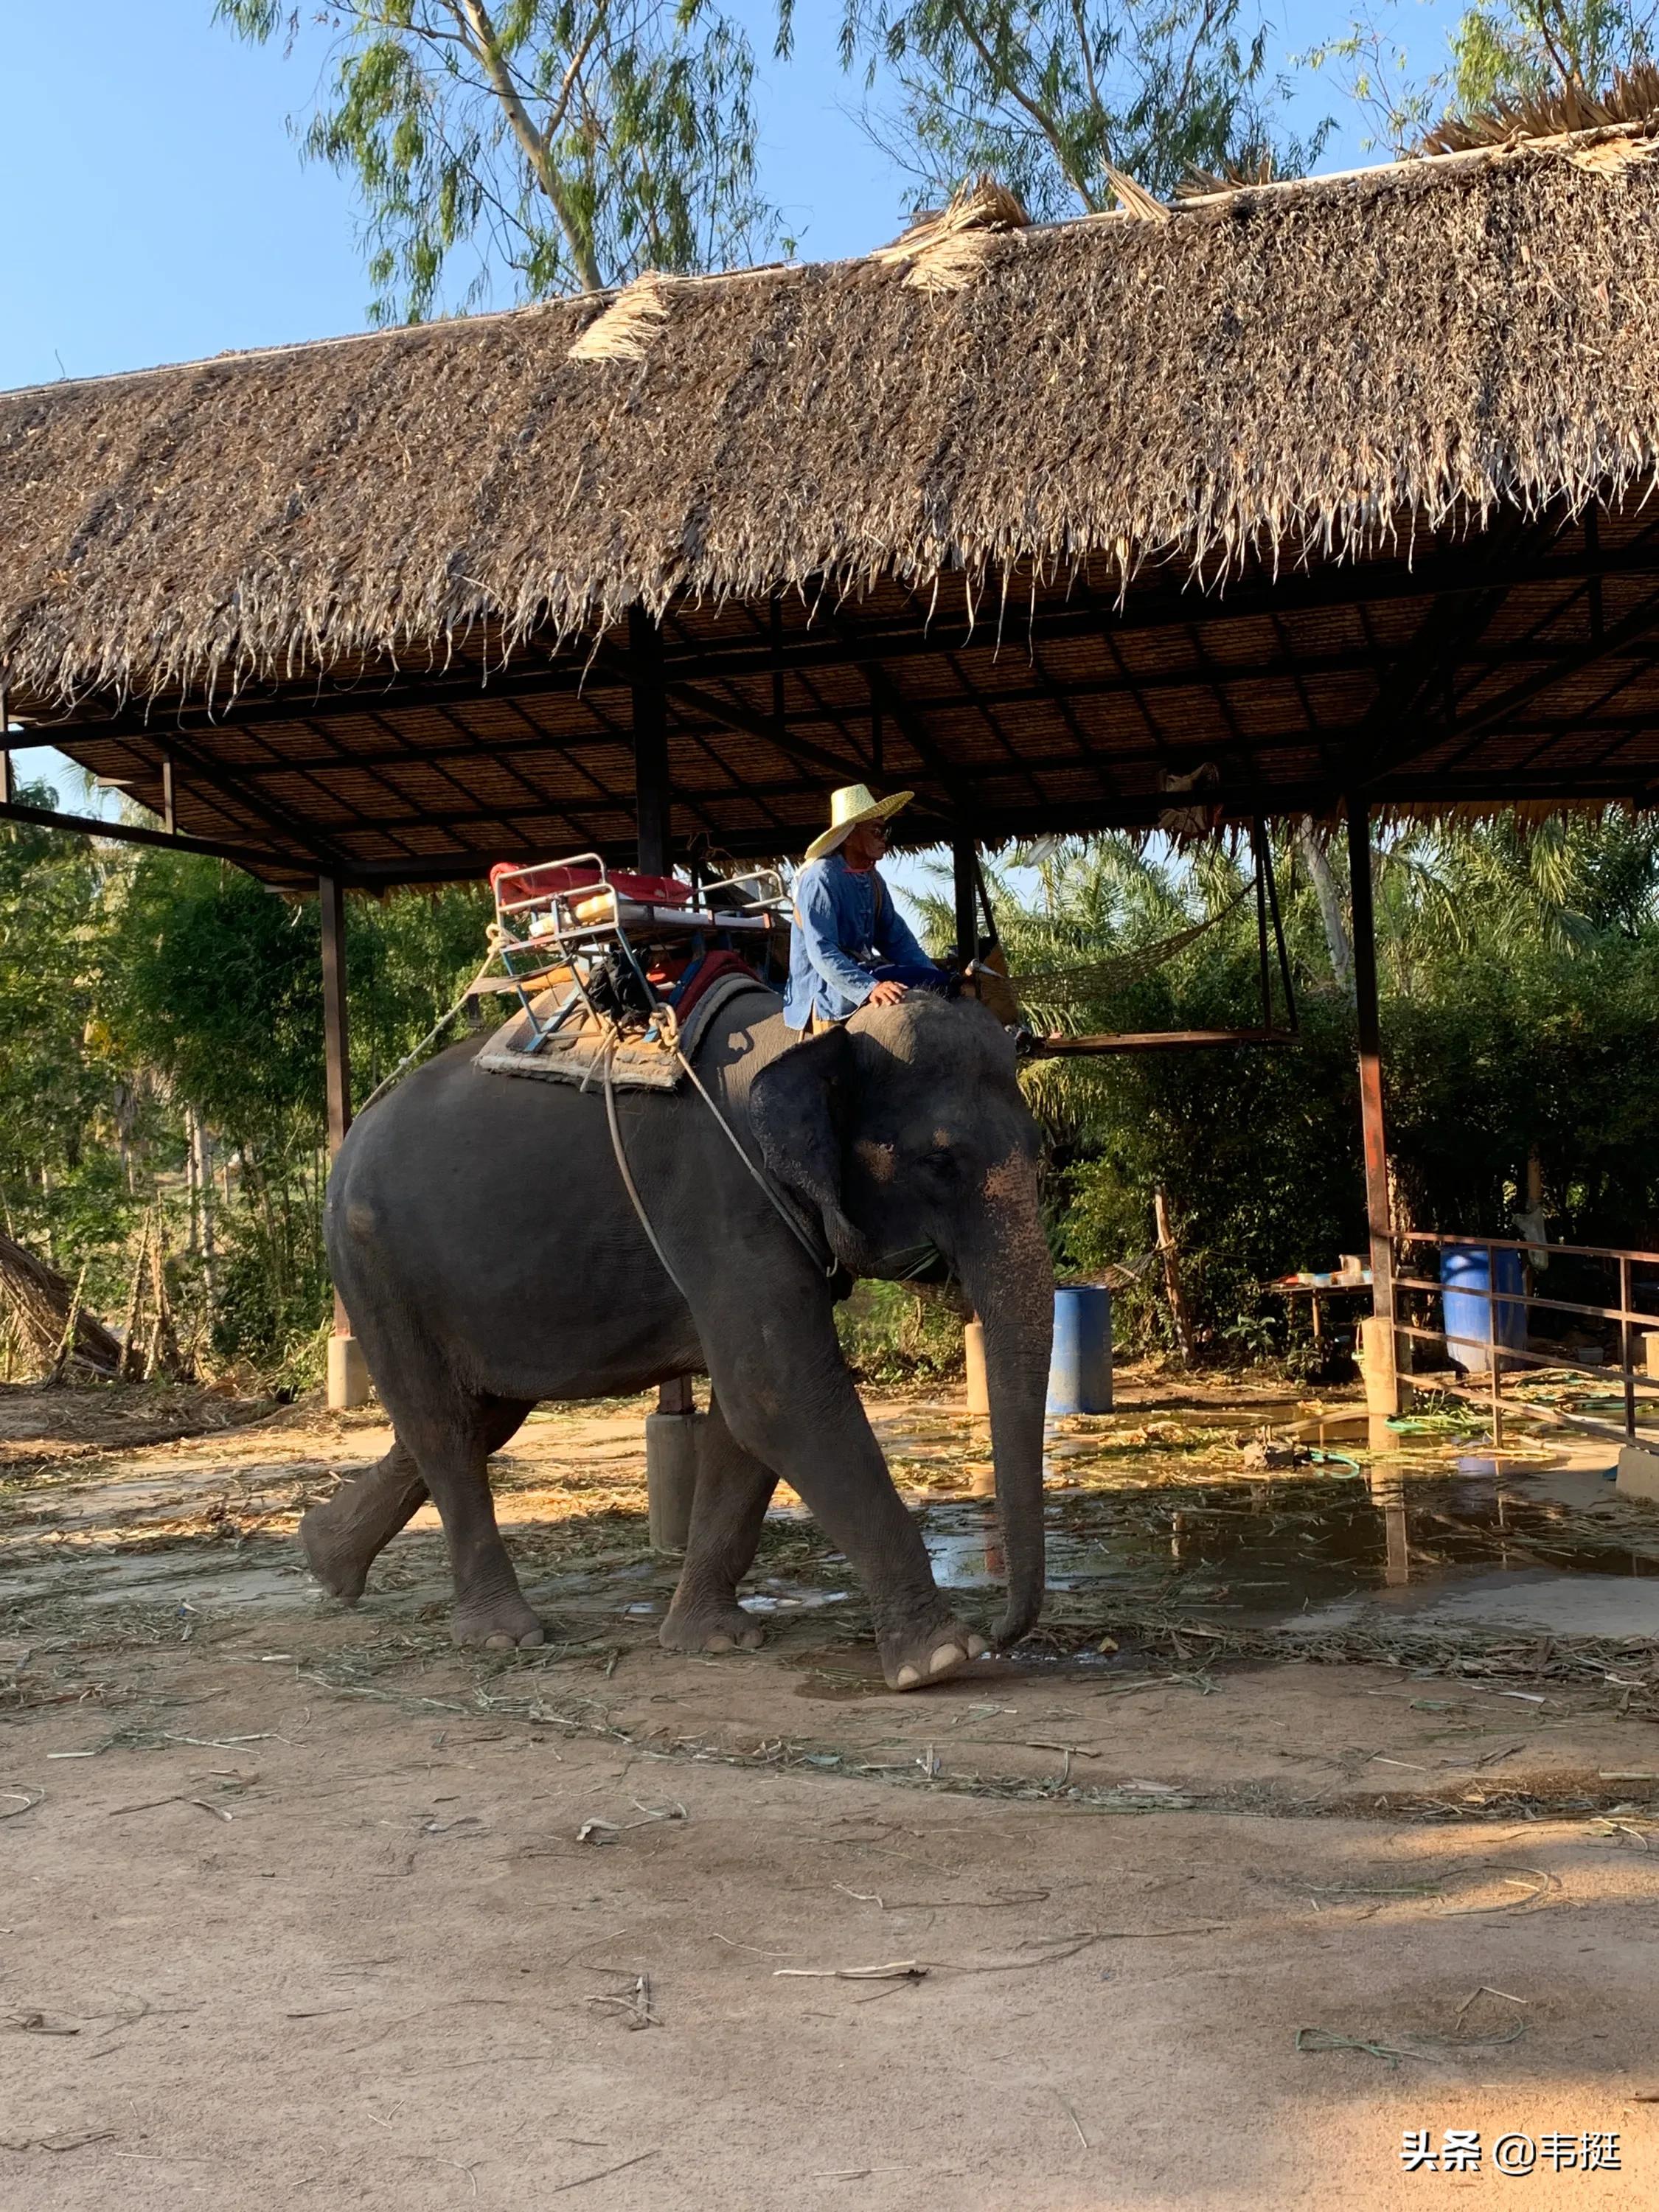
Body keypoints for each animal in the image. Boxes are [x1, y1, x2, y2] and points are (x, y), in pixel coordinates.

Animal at [307, 991, 1053, 1690]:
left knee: (481, 1416)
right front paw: (940, 1660)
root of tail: (350, 1137)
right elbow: (777, 1396)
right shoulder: (724, 1199)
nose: (1003, 1632)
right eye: (940, 1161)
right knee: (444, 1426)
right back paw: (499, 1636)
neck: (810, 1035)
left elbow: (746, 1419)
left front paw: (714, 1641)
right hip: (375, 1266)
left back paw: (326, 1559)